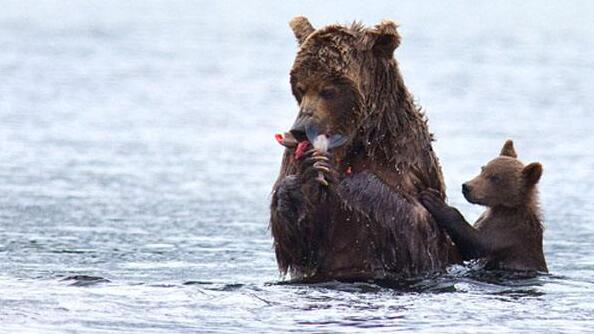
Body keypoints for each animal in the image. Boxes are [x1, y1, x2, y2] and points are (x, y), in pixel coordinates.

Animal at [270, 16, 456, 282]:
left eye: (328, 89)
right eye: (301, 87)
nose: (300, 130)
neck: (355, 139)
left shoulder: (406, 158)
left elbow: (420, 228)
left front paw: (341, 177)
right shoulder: (291, 156)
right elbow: (296, 243)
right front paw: (306, 176)